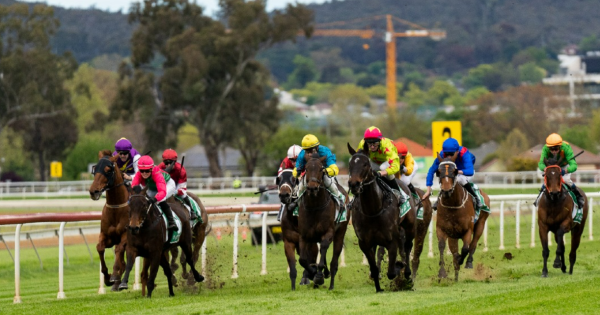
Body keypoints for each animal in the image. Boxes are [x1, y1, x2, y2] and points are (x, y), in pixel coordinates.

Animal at [89, 152, 129, 292]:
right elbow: (100, 248)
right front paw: (107, 277)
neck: (116, 208)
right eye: (95, 169)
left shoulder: (126, 235)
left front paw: (115, 273)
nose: (93, 191)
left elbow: (119, 249)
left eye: (108, 170)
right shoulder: (107, 236)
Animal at [298, 156, 350, 292]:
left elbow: (323, 253)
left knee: (333, 261)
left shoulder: (328, 232)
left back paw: (330, 283)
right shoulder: (304, 236)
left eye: (321, 169)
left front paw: (319, 276)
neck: (315, 207)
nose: (312, 188)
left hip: (340, 233)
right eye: (306, 168)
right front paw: (312, 273)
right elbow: (302, 260)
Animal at [434, 152, 490, 282]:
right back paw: (456, 275)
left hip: (481, 223)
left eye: (455, 171)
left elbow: (465, 248)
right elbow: (442, 246)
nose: (446, 190)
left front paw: (460, 260)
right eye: (438, 171)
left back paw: (468, 262)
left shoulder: (467, 230)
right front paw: (442, 272)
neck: (453, 205)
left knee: (473, 244)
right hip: (453, 235)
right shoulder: (443, 229)